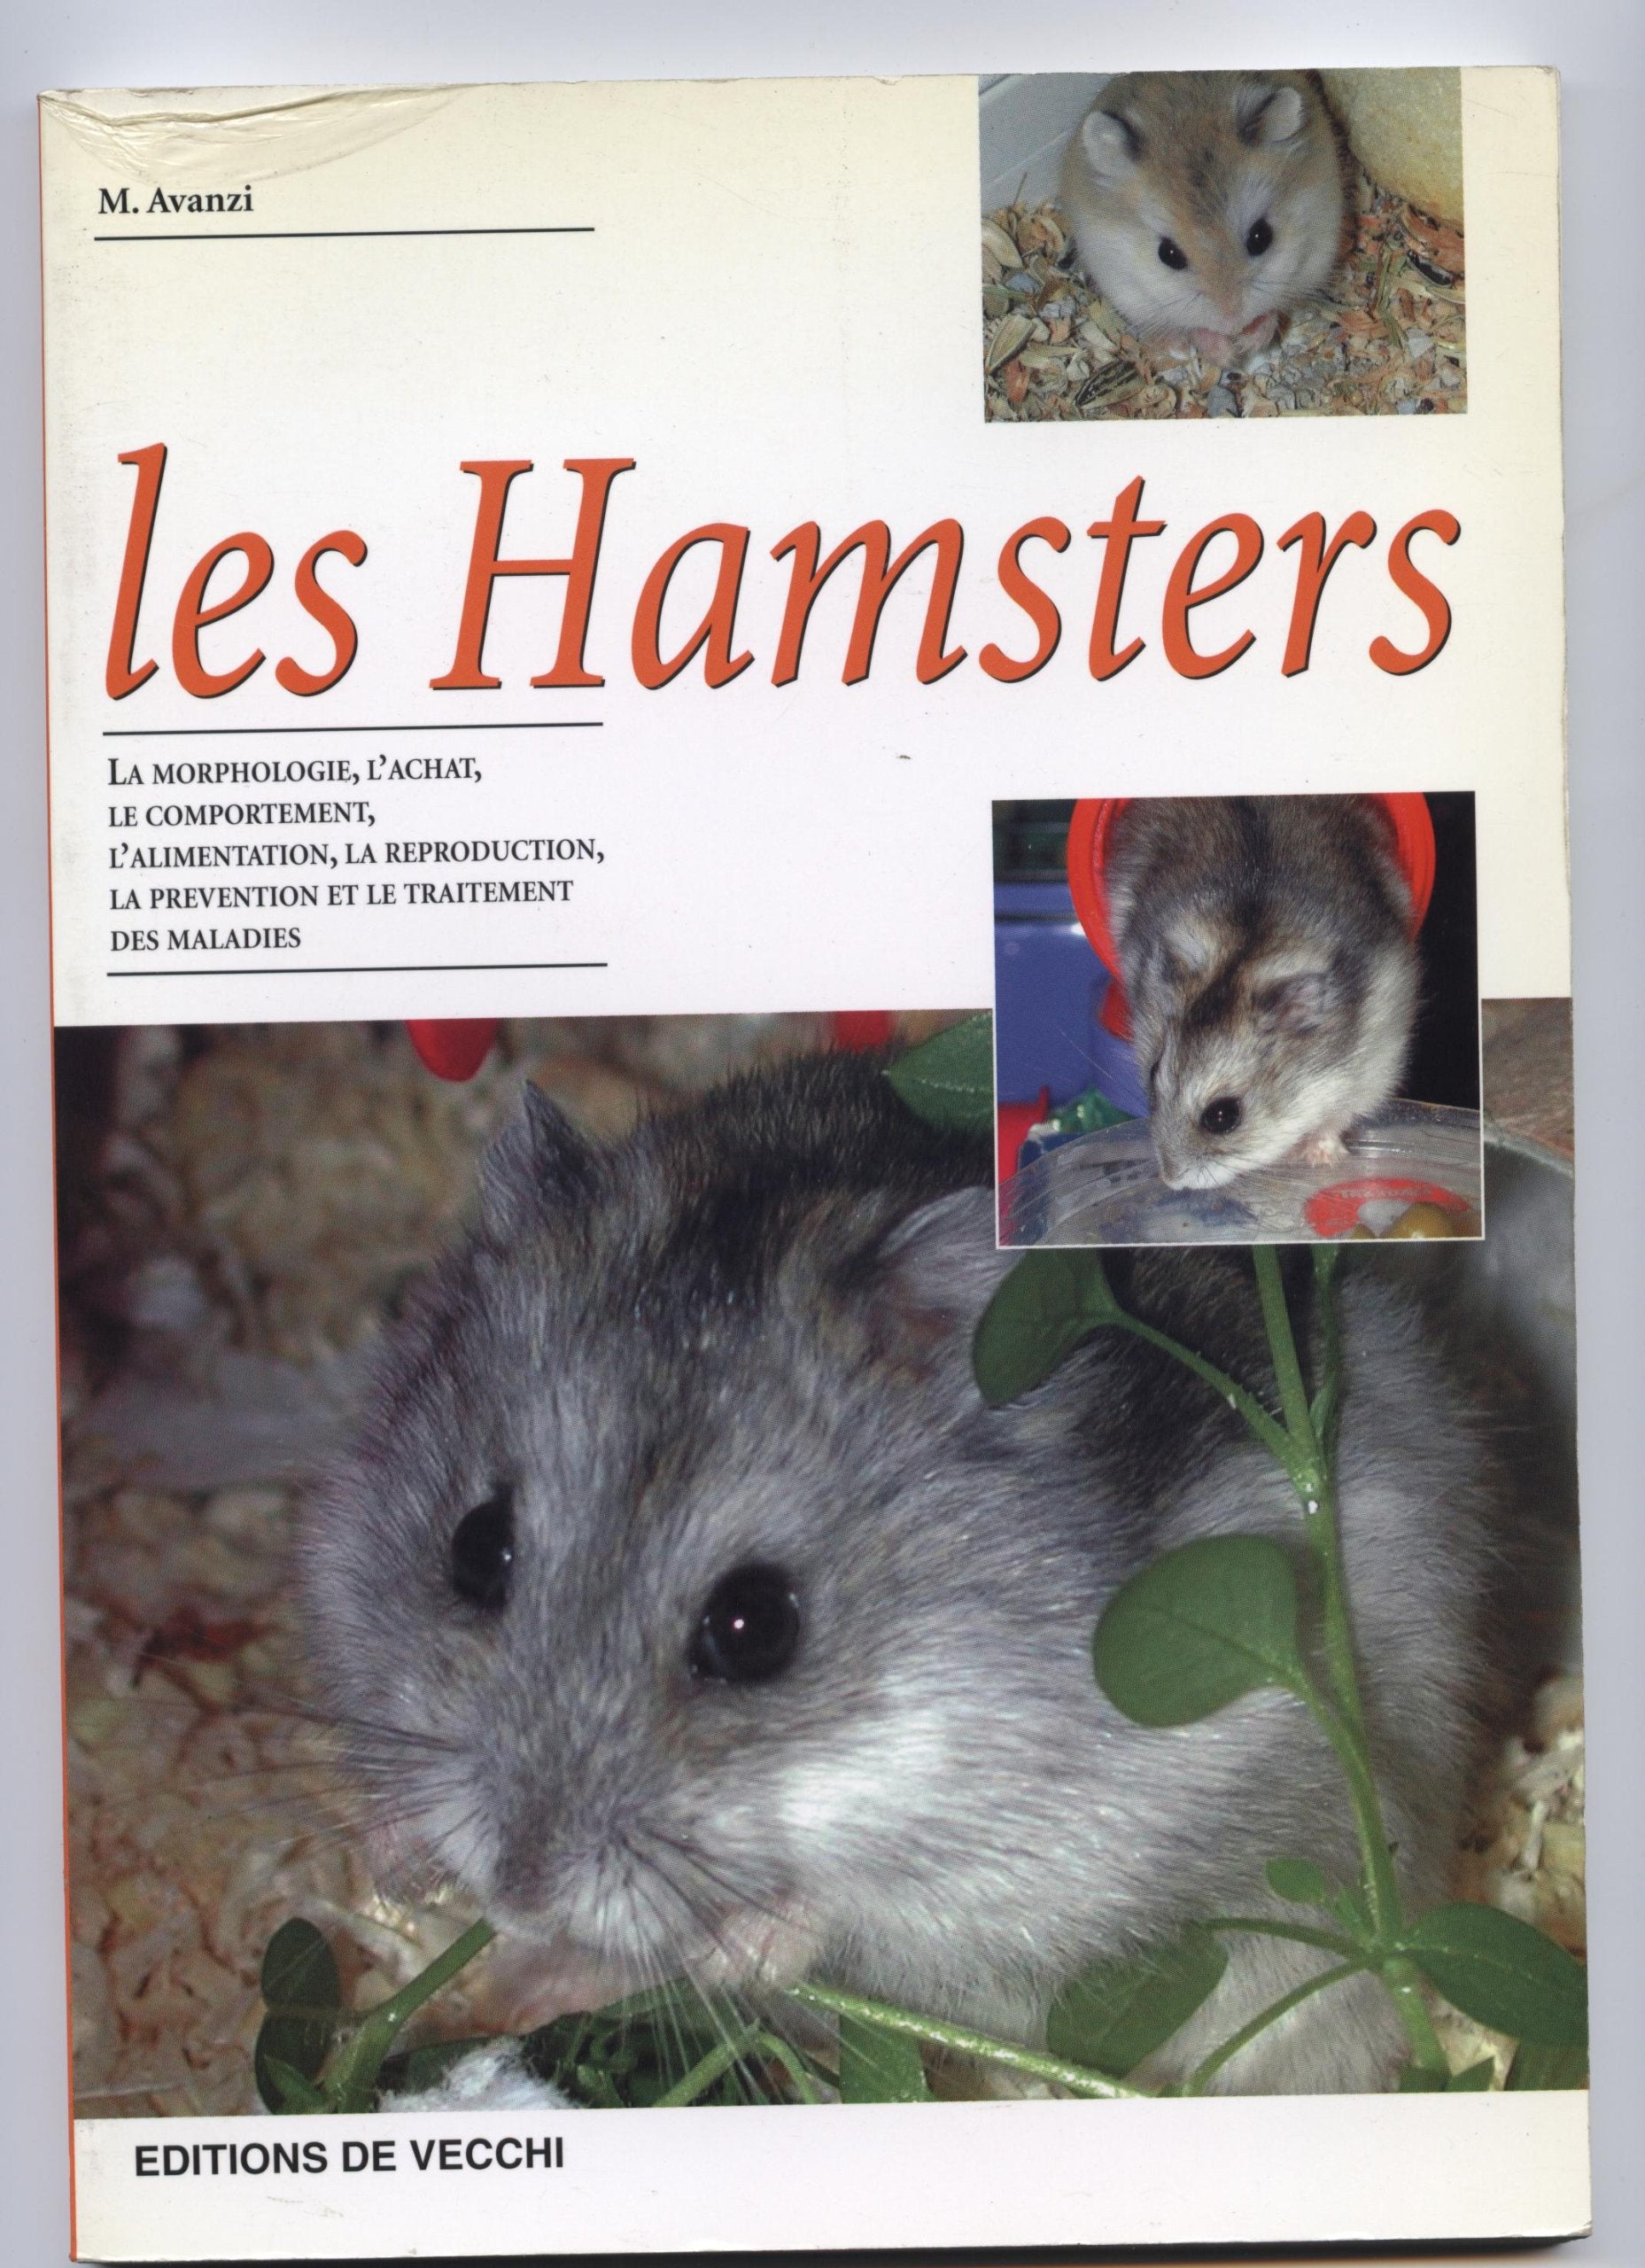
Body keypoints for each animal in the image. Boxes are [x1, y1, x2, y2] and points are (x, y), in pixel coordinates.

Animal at [303, 1049, 1488, 2094]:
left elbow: (847, 1905)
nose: (516, 1894)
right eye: (475, 1548)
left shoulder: (1084, 1831)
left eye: (755, 1627)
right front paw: (399, 1860)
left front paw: (731, 1949)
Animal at [1059, 71, 1345, 368]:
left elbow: (1273, 309)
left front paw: (1249, 341)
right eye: (1168, 255)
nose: (1233, 322)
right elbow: (1196, 327)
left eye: (1261, 237)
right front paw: (1227, 354)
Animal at [1106, 797, 1419, 1192]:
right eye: (1151, 1073)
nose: (1169, 1179)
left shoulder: (1373, 1066)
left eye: (1222, 1116)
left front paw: (1320, 1159)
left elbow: (1335, 1120)